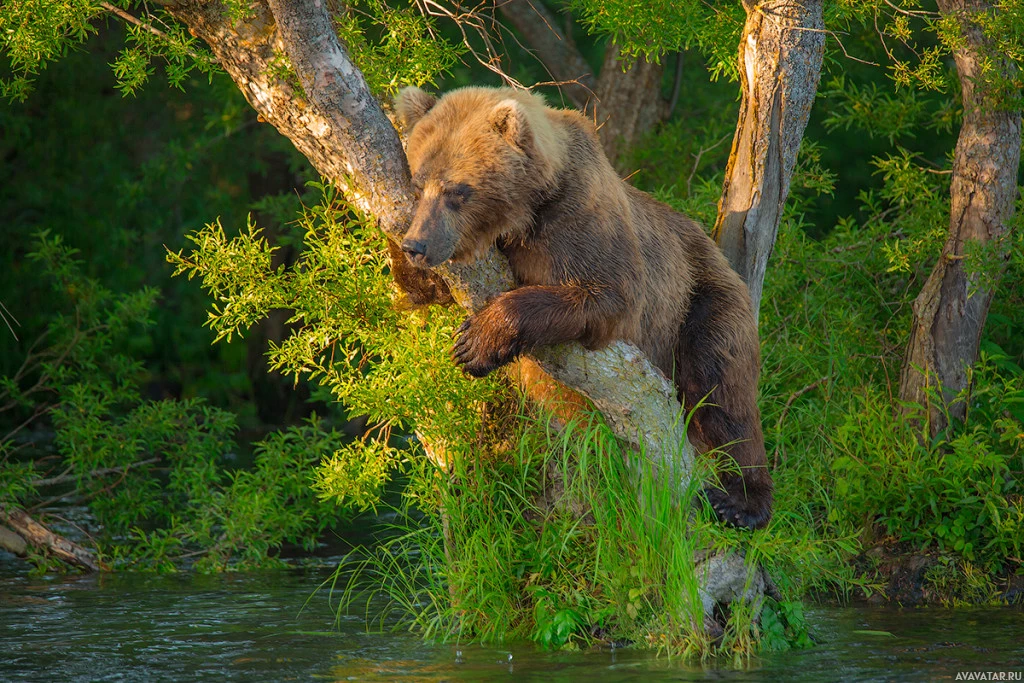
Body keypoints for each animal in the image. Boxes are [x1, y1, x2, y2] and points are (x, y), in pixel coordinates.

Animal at [395, 85, 770, 532]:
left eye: (457, 190)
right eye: (418, 185)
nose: (417, 245)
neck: (523, 217)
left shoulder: (579, 216)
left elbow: (607, 294)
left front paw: (475, 342)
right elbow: (423, 291)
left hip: (702, 296)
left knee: (721, 388)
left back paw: (741, 502)